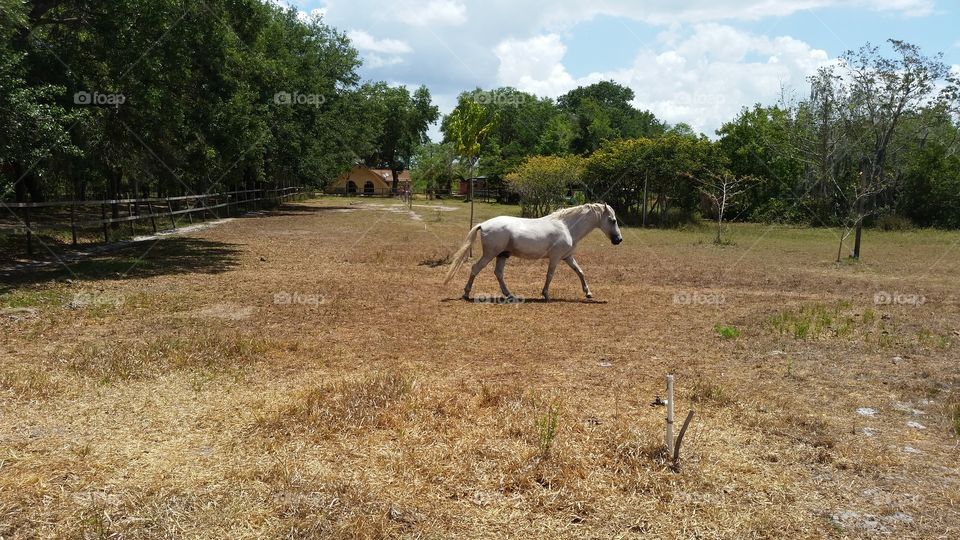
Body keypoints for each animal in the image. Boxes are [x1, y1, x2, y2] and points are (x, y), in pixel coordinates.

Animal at [442, 202, 624, 302]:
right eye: (612, 220)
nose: (618, 240)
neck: (566, 226)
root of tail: (484, 224)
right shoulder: (555, 257)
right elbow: (550, 275)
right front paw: (546, 295)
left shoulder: (567, 257)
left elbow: (580, 272)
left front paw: (588, 293)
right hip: (490, 254)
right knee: (476, 269)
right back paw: (466, 293)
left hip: (502, 255)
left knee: (498, 273)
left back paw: (510, 295)